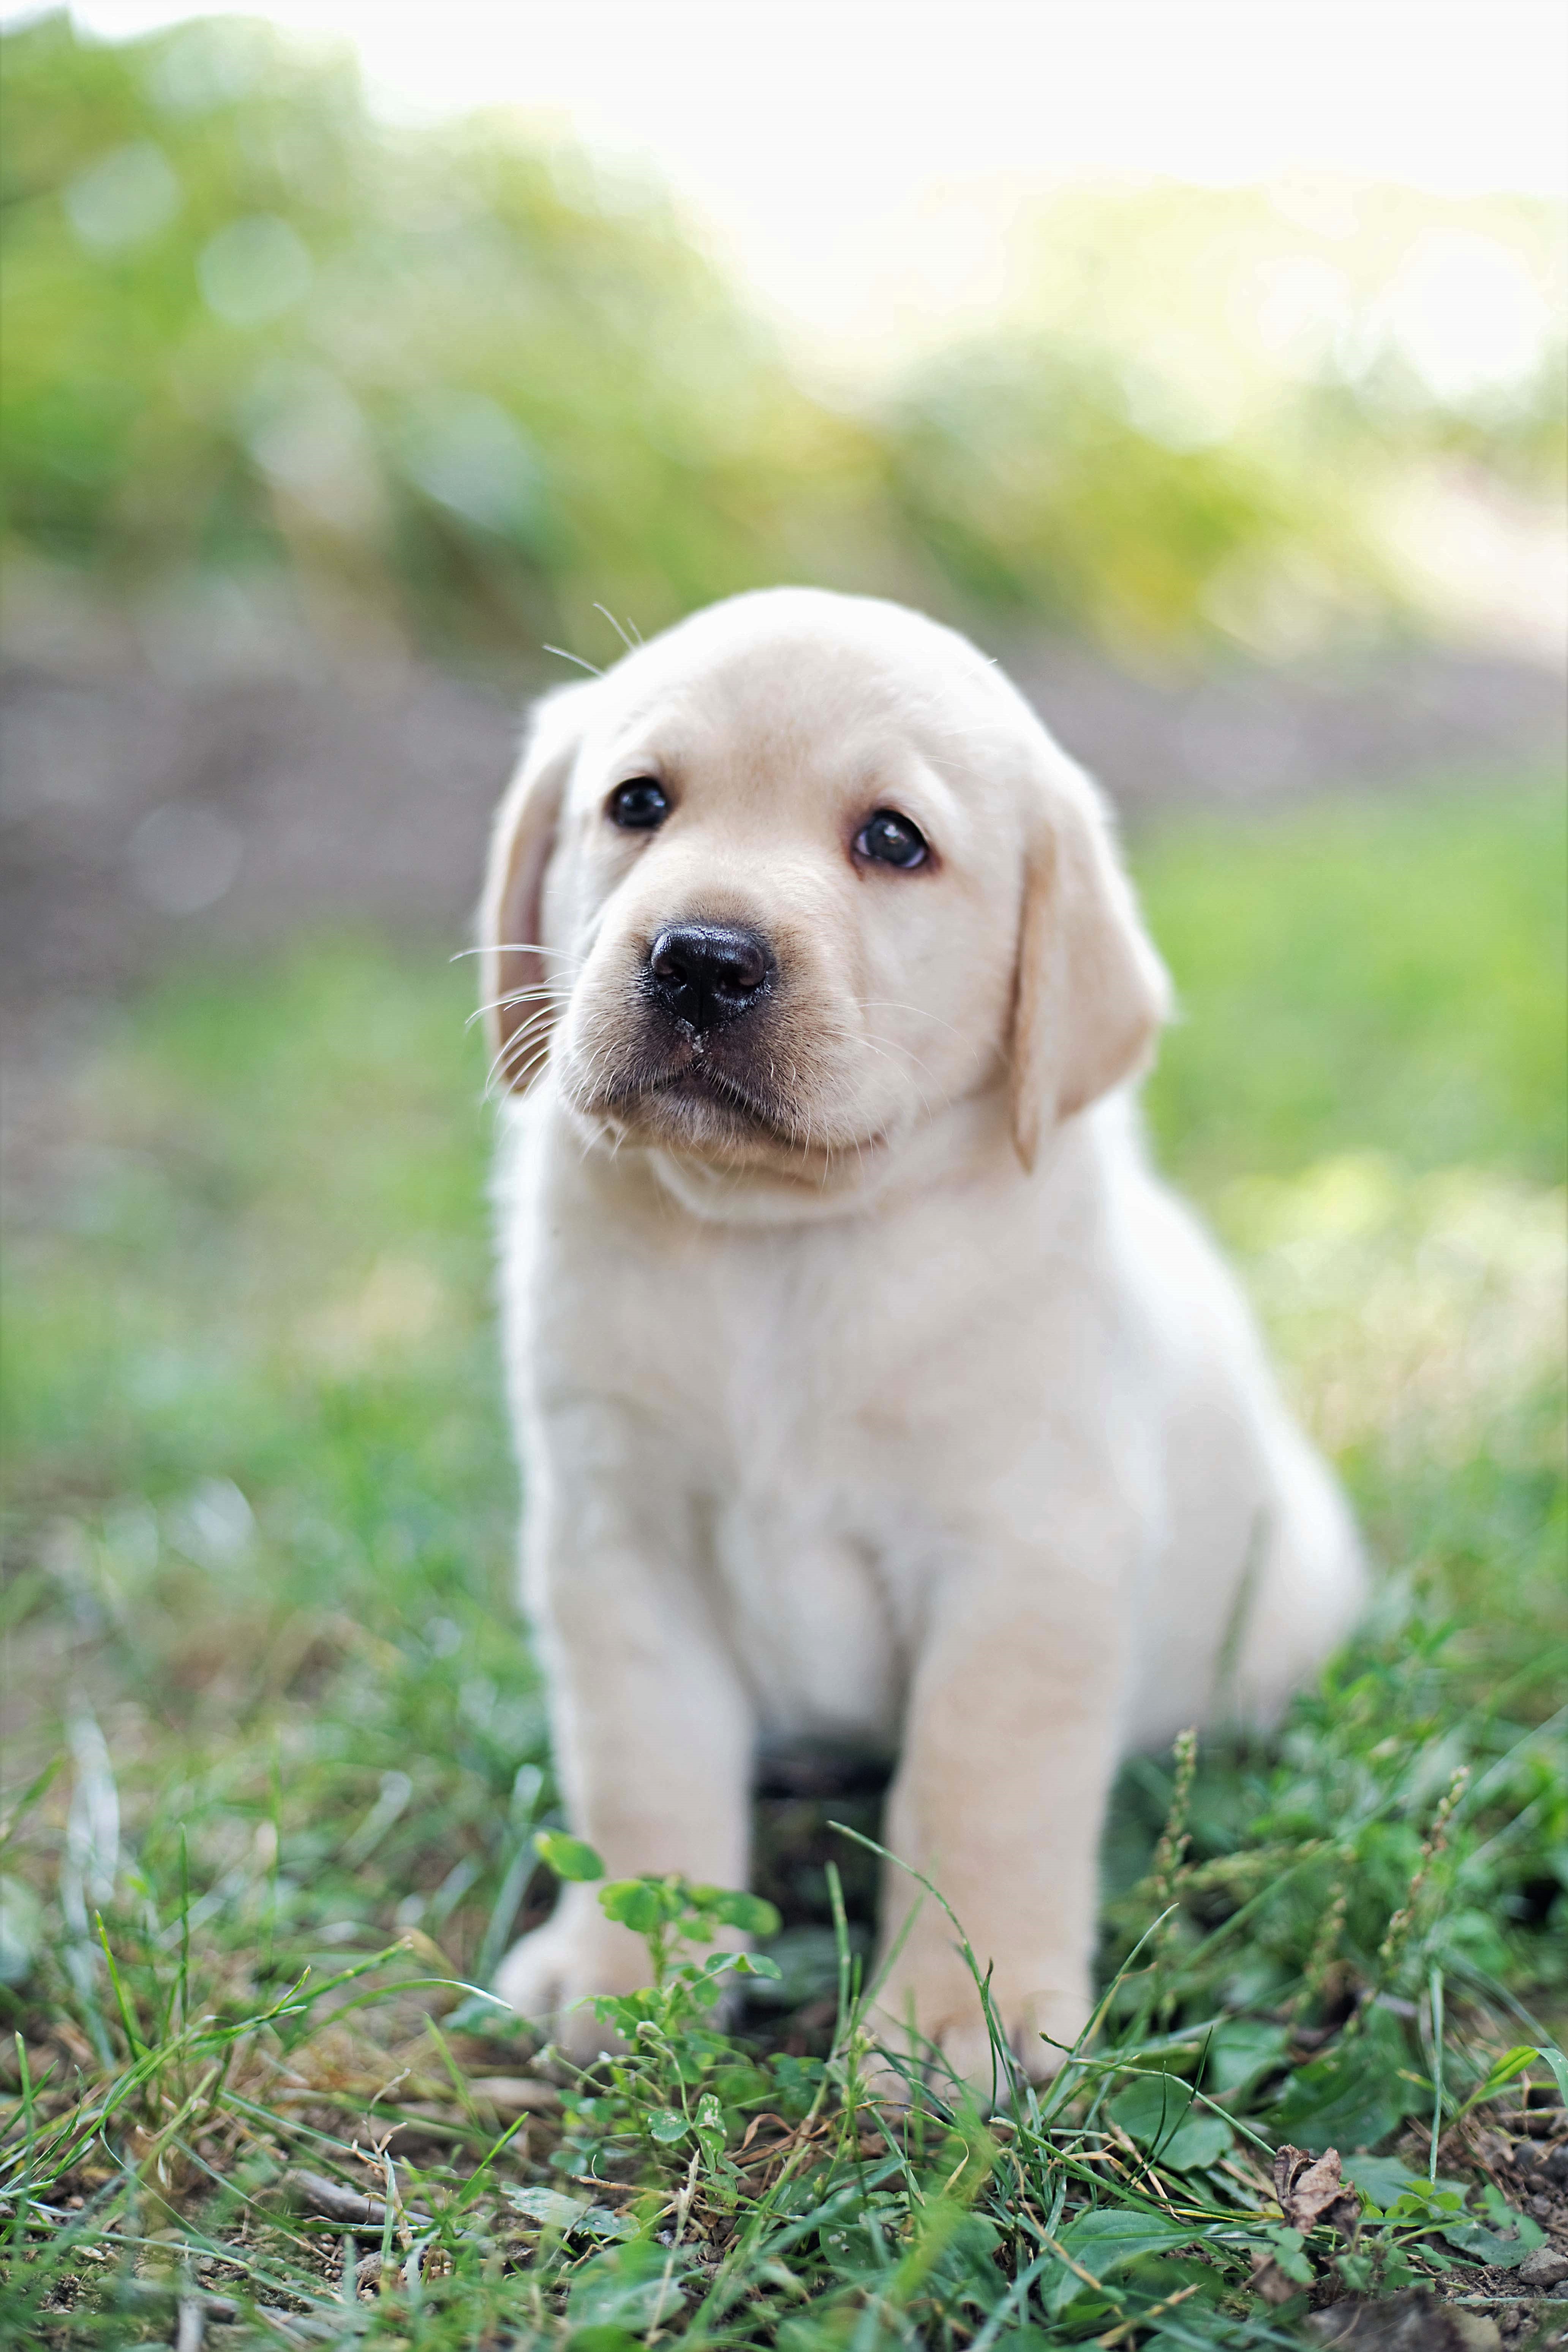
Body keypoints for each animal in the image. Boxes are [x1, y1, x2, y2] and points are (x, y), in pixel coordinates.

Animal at [475, 593, 1363, 2098]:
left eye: (892, 840)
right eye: (637, 804)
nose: (700, 957)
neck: (779, 1245)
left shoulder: (1024, 1564)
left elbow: (973, 1795)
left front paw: (958, 2018)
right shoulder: (615, 1543)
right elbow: (640, 1773)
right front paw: (626, 1972)